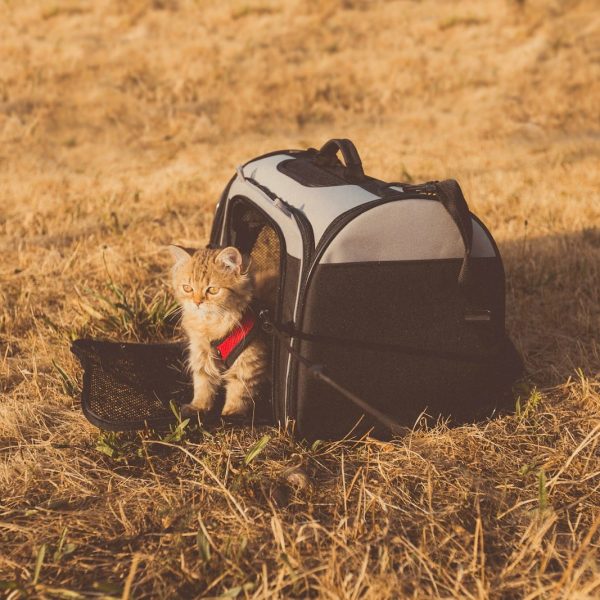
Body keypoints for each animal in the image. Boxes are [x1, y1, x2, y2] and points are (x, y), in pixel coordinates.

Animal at [169, 244, 268, 418]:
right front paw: (198, 407)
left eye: (213, 290)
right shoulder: (201, 354)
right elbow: (203, 384)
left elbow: (239, 392)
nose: (197, 302)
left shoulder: (249, 362)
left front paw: (231, 414)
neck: (211, 325)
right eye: (187, 288)